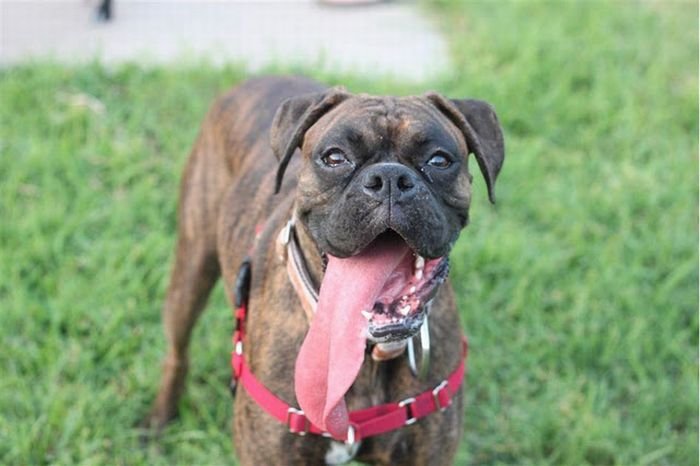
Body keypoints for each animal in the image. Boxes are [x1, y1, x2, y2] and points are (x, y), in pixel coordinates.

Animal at [144, 76, 504, 466]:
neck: (361, 353)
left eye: (439, 160)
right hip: (192, 269)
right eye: (334, 157)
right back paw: (159, 421)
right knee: (177, 352)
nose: (390, 178)